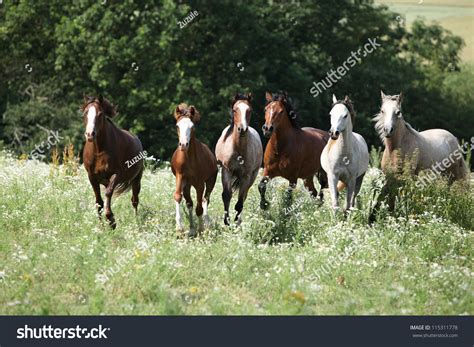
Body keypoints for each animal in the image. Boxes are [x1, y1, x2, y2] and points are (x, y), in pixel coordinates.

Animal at [81, 96, 143, 230]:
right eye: (85, 113)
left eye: (100, 114)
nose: (90, 134)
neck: (99, 150)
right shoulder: (92, 177)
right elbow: (99, 202)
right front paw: (101, 227)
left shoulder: (116, 175)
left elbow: (108, 193)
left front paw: (111, 220)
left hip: (136, 179)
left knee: (134, 200)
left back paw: (136, 223)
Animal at [170, 104, 218, 237]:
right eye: (177, 126)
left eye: (192, 126)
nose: (183, 144)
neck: (189, 159)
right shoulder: (180, 177)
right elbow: (178, 196)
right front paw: (179, 228)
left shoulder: (200, 183)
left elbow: (199, 207)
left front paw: (201, 229)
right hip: (187, 185)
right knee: (190, 203)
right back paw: (192, 229)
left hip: (211, 181)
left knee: (205, 199)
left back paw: (206, 225)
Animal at [215, 94, 262, 227]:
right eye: (235, 110)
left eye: (249, 110)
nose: (242, 129)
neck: (238, 149)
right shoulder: (226, 170)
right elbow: (226, 196)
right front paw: (226, 222)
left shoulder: (246, 175)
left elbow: (240, 202)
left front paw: (236, 223)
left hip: (253, 175)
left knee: (244, 196)